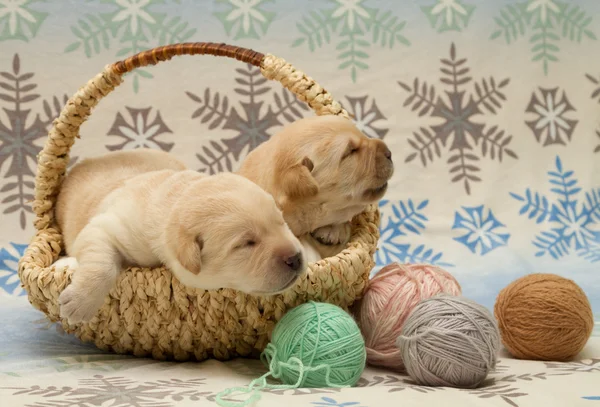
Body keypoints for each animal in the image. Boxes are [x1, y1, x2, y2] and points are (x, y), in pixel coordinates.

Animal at [54, 150, 308, 326]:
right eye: (247, 243)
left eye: (281, 222)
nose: (296, 258)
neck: (173, 197)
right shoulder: (109, 226)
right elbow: (102, 263)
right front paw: (79, 303)